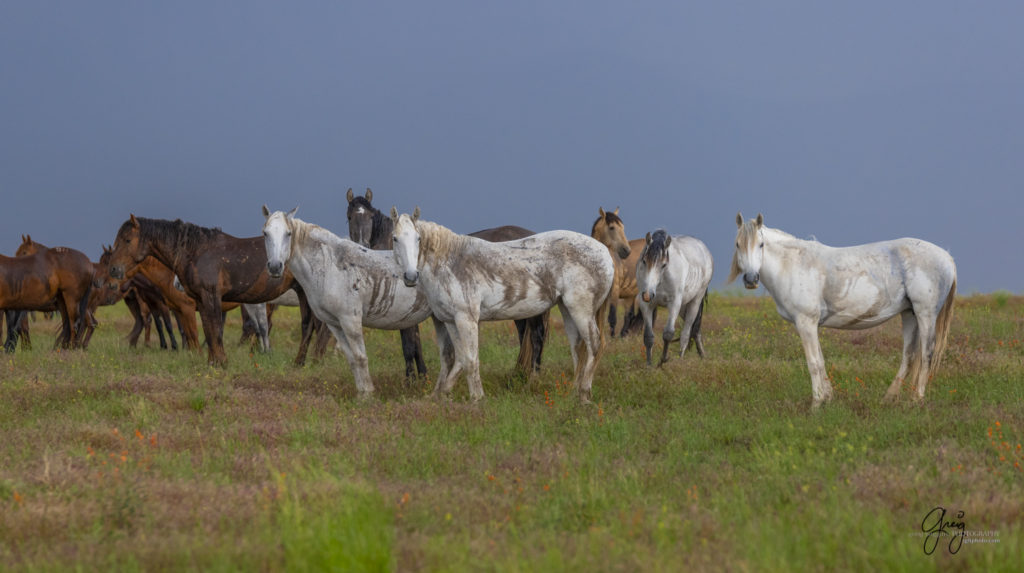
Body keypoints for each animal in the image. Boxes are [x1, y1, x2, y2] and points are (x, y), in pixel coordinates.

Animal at [107, 214, 315, 366]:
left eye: (127, 240)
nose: (114, 269)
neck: (197, 252)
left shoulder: (211, 296)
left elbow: (214, 329)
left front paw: (221, 362)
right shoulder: (200, 300)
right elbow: (208, 329)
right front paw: (212, 362)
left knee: (307, 326)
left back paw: (299, 362)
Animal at [262, 205, 434, 399]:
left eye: (288, 233)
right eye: (265, 233)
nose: (275, 266)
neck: (330, 265)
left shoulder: (350, 320)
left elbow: (360, 357)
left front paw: (367, 395)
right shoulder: (335, 324)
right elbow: (352, 359)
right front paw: (361, 393)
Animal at [389, 207, 614, 401]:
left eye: (418, 238)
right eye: (395, 238)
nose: (411, 276)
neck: (451, 262)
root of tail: (605, 253)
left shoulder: (467, 319)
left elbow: (471, 360)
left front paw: (476, 398)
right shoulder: (451, 321)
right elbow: (460, 358)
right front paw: (442, 394)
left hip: (581, 310)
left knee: (595, 344)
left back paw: (584, 393)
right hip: (567, 310)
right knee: (578, 349)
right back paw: (574, 394)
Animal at [634, 229, 716, 366]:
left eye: (664, 265)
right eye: (644, 261)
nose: (647, 294)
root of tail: (705, 250)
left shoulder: (674, 303)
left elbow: (668, 333)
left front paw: (662, 361)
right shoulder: (645, 304)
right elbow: (648, 337)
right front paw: (649, 365)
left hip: (694, 302)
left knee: (686, 333)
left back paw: (680, 359)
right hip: (684, 307)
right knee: (695, 331)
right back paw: (701, 354)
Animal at [729, 213, 958, 407]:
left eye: (761, 244)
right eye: (738, 244)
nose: (751, 279)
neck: (793, 265)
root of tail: (947, 257)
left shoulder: (806, 322)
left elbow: (813, 363)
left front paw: (816, 403)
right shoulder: (811, 325)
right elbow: (821, 361)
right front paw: (828, 397)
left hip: (925, 313)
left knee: (926, 354)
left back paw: (916, 399)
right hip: (909, 314)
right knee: (909, 356)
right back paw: (888, 398)